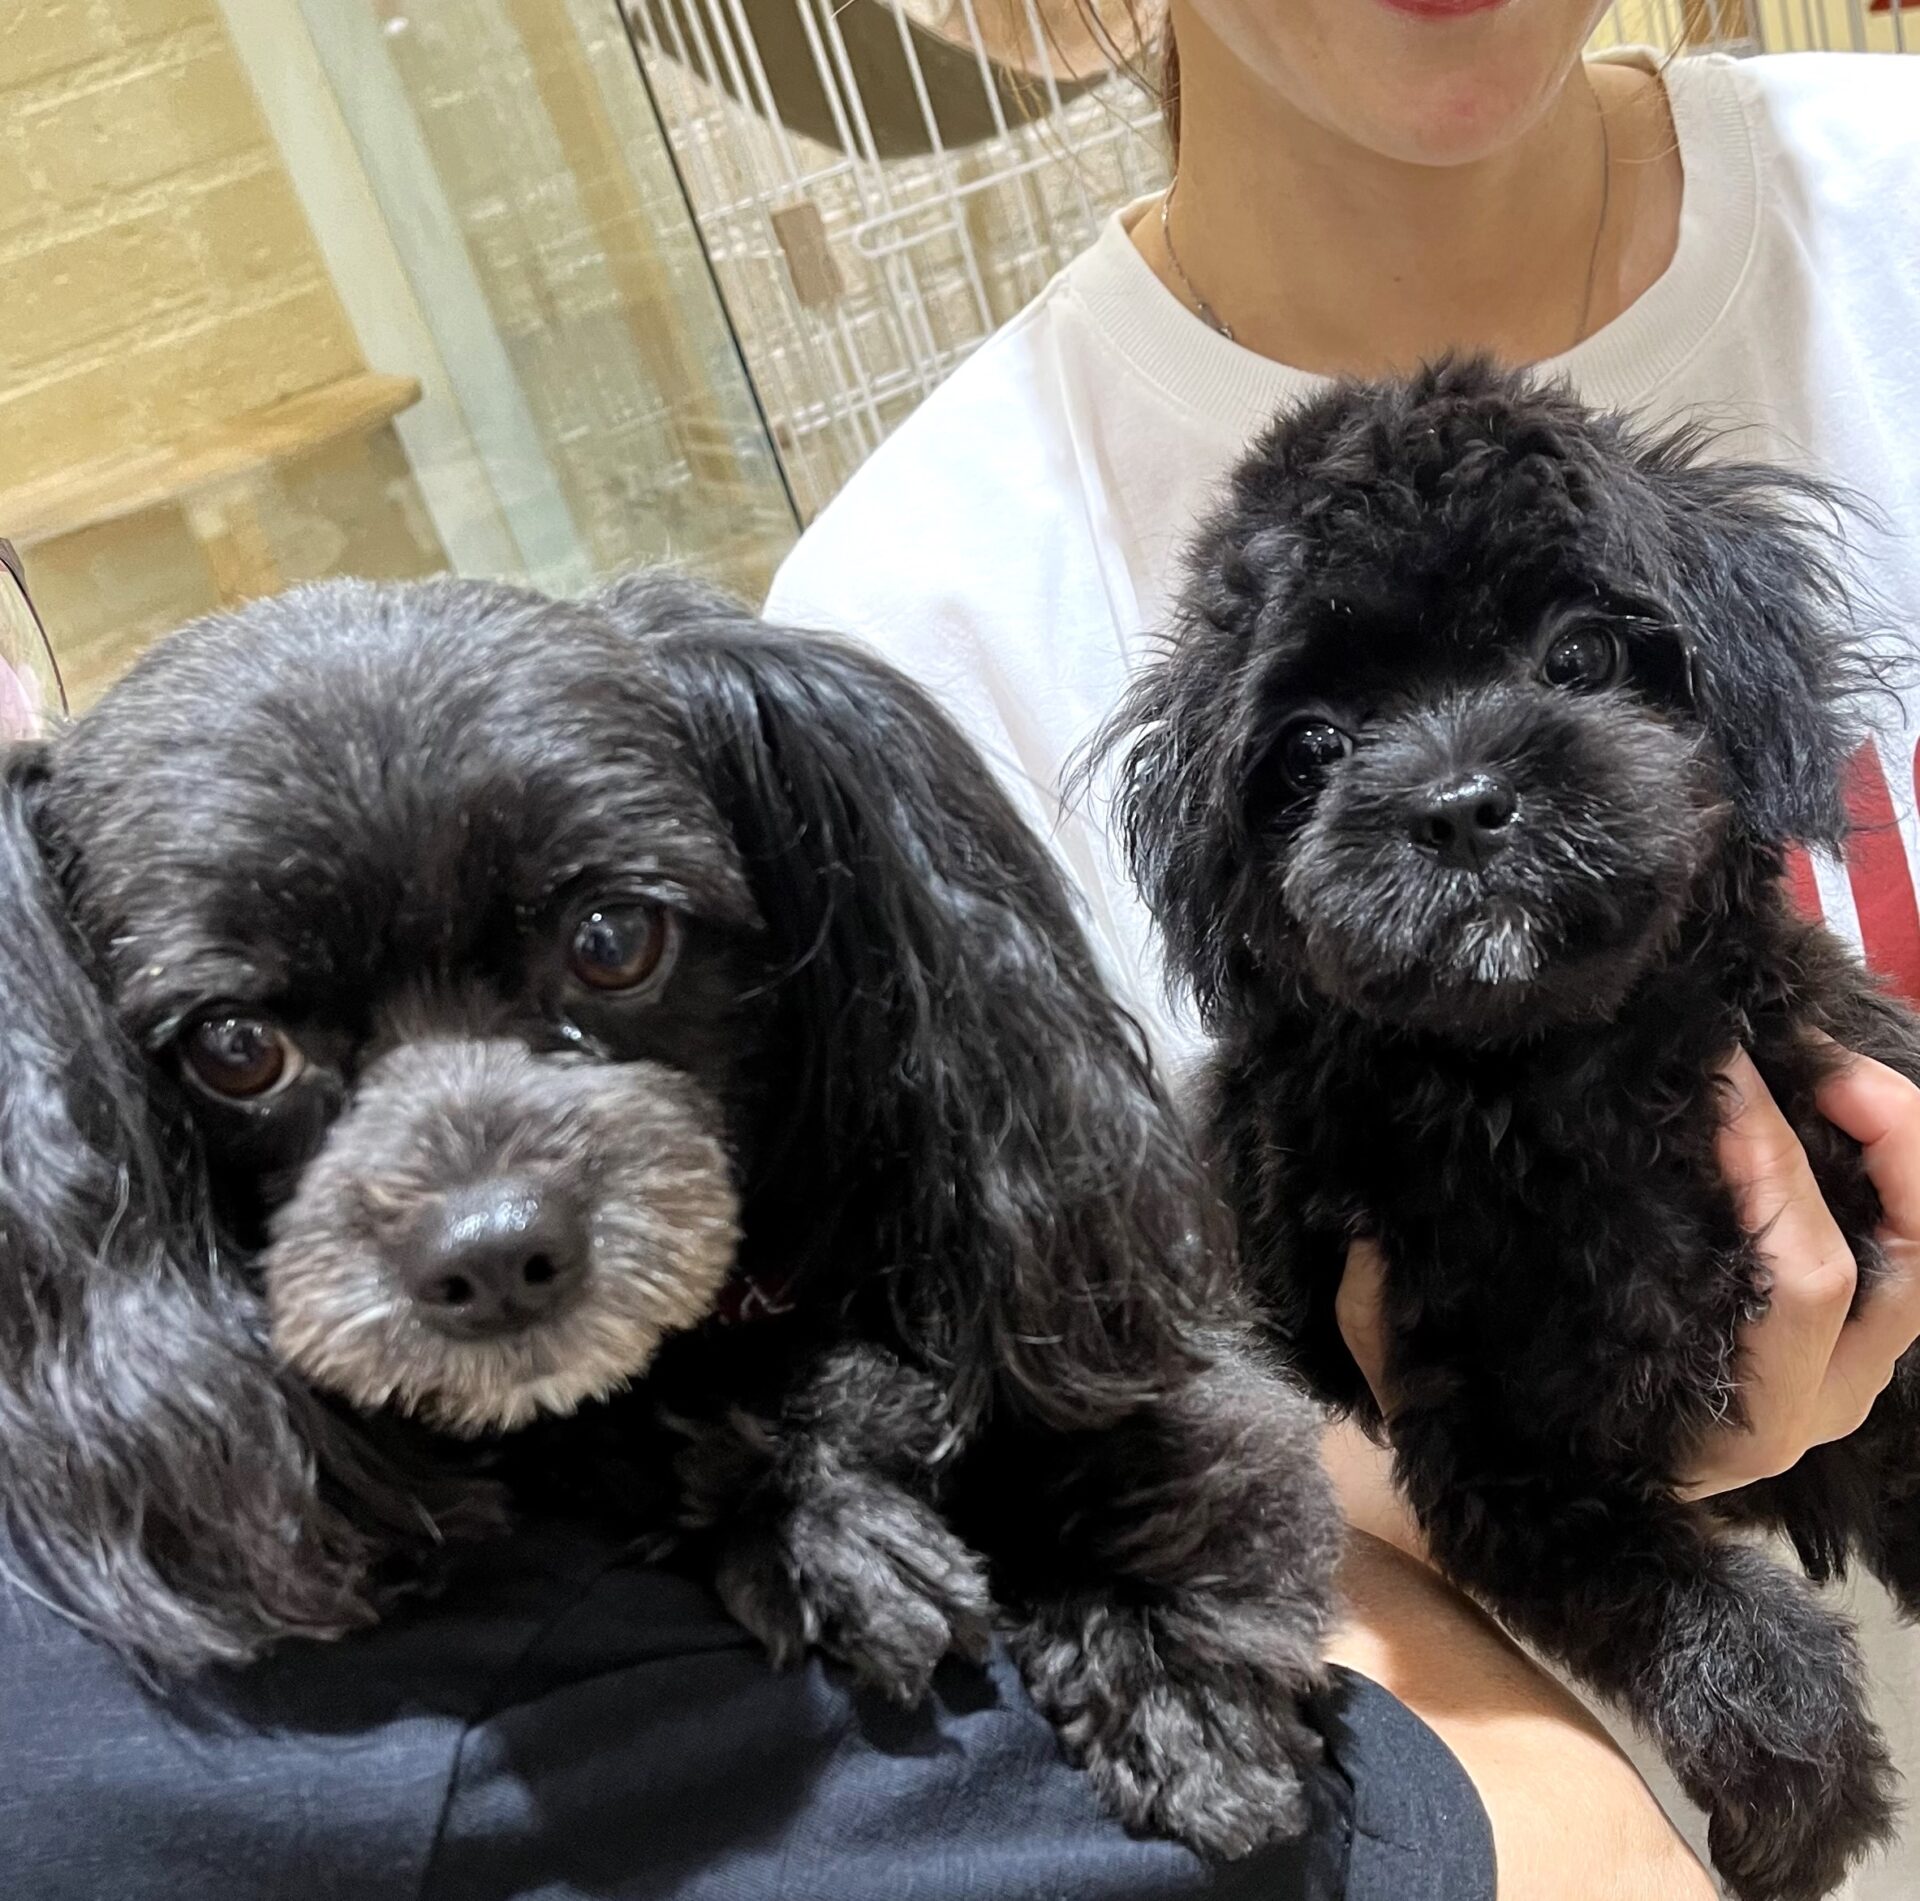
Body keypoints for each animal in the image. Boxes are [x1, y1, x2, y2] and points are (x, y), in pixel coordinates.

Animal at [0, 573, 1340, 1859]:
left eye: (611, 937)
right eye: (235, 1048)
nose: (496, 1253)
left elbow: (1149, 1438)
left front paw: (1176, 1671)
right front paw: (814, 1522)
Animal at [1099, 358, 1920, 1901]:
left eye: (1581, 656)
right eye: (1313, 746)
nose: (1460, 803)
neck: (1565, 1072)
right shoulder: (1494, 1443)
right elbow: (1682, 1605)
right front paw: (1803, 1797)